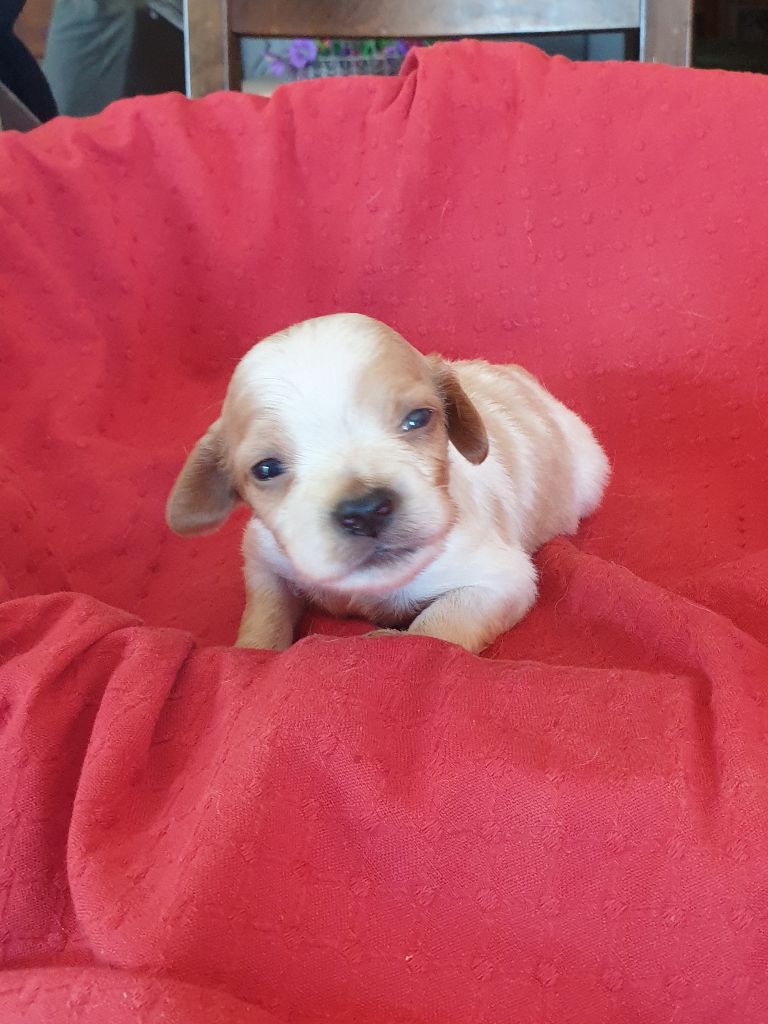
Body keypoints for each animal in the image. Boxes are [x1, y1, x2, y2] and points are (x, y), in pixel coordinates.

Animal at [166, 313, 609, 654]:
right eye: (266, 469)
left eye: (418, 419)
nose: (365, 511)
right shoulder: (263, 558)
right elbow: (265, 612)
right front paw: (254, 650)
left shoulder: (499, 582)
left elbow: (434, 625)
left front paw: (388, 639)